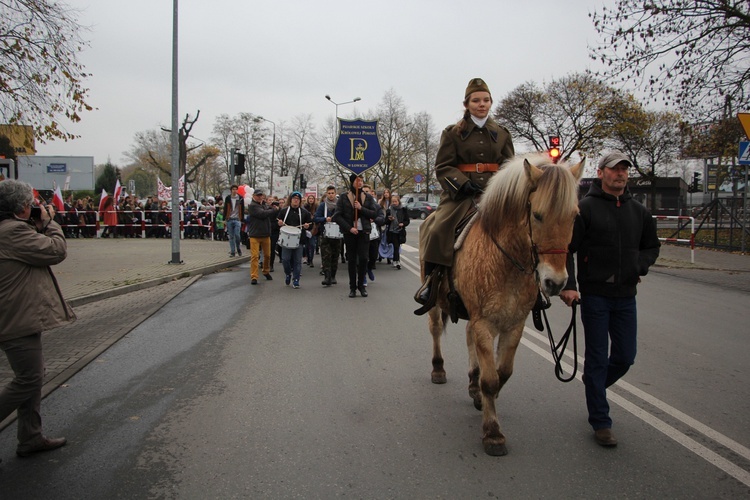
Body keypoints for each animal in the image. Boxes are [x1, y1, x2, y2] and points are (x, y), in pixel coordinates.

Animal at [426, 152, 584, 458]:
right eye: (537, 215)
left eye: (574, 216)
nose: (556, 282)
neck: (508, 261)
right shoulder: (485, 322)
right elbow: (491, 379)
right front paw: (493, 433)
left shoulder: (513, 323)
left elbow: (503, 373)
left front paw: (485, 398)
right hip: (436, 305)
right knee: (437, 330)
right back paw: (438, 368)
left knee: (468, 339)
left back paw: (472, 383)